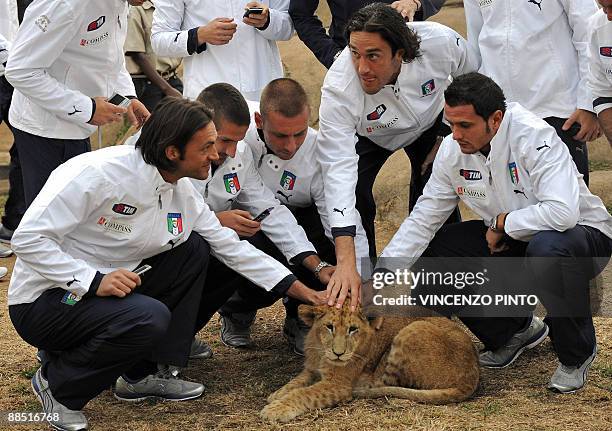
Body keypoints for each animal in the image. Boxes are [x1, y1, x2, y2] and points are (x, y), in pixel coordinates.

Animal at [260, 304, 480, 426]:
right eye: (329, 327)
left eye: (353, 329)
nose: (338, 353)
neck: (322, 352)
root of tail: (473, 374)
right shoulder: (311, 369)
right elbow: (296, 382)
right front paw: (277, 394)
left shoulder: (338, 385)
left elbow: (303, 393)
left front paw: (276, 409)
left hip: (412, 329)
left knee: (384, 383)